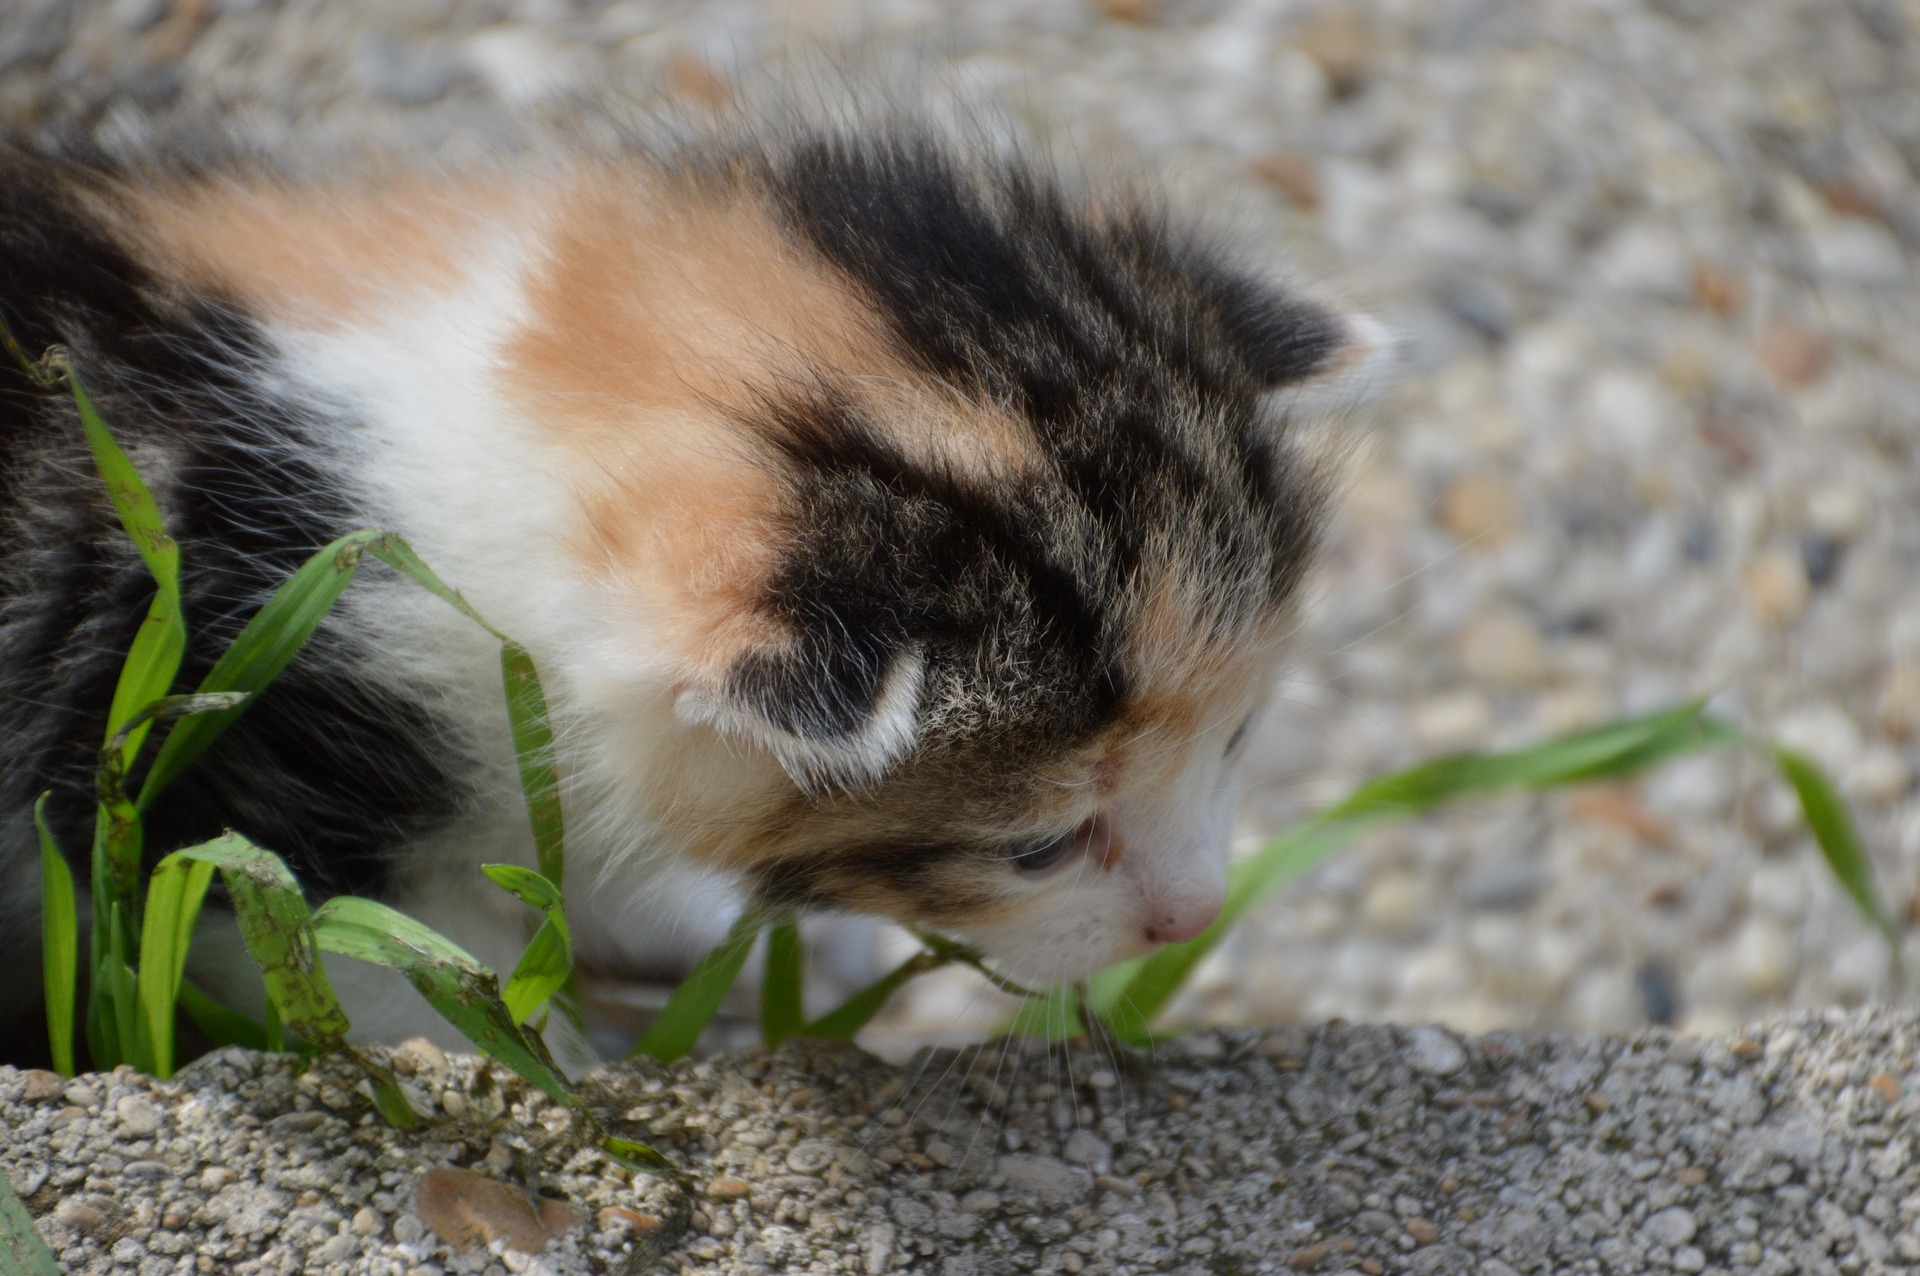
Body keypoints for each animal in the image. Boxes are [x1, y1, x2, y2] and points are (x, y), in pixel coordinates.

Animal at [0, 119, 1382, 1059]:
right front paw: (566, 1074)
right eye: (1034, 847)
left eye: (1238, 740)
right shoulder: (206, 776)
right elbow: (378, 970)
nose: (1193, 919)